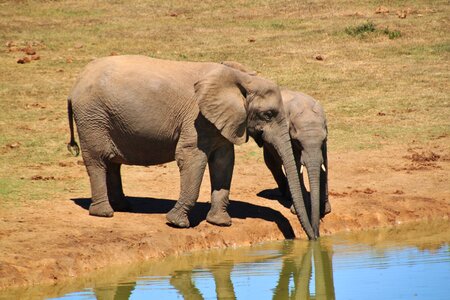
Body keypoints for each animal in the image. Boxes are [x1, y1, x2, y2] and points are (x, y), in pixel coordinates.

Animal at [67, 55, 316, 239]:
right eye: (268, 114)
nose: (313, 237)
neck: (241, 78)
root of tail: (76, 84)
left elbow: (224, 162)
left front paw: (220, 223)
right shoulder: (196, 119)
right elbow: (192, 158)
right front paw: (176, 223)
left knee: (112, 163)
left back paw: (123, 207)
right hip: (92, 117)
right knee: (97, 160)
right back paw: (104, 213)